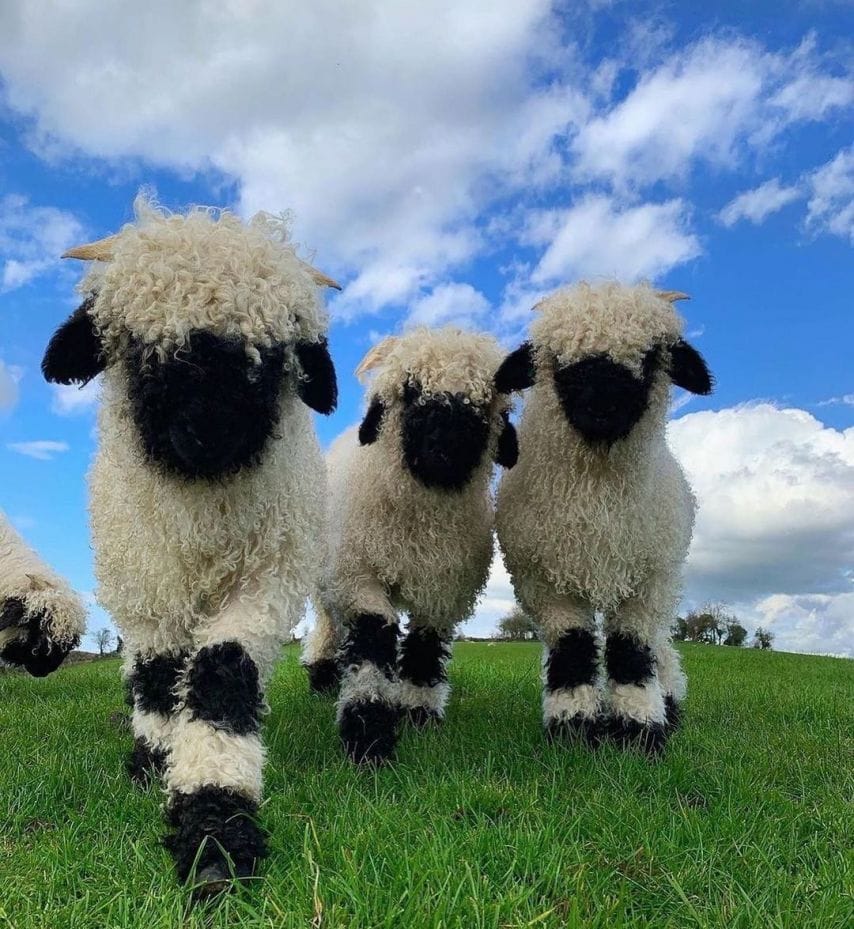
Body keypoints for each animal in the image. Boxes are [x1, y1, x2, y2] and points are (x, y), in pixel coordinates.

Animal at [40, 198, 340, 900]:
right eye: (135, 345)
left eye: (274, 355)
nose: (208, 431)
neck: (201, 507)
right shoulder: (148, 591)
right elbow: (155, 677)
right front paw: (159, 763)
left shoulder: (265, 580)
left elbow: (221, 675)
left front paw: (215, 836)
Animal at [304, 330, 524, 764]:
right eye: (410, 390)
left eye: (485, 399)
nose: (446, 450)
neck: (420, 527)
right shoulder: (359, 577)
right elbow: (372, 639)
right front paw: (368, 735)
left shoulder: (444, 590)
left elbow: (424, 649)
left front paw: (418, 716)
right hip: (330, 575)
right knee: (328, 625)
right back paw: (322, 678)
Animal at [494, 280, 716, 752]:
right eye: (557, 359)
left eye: (650, 357)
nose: (602, 407)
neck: (596, 499)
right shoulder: (543, 582)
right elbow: (573, 649)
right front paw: (573, 726)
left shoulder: (648, 580)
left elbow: (631, 650)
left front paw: (639, 729)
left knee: (661, 647)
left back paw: (670, 703)